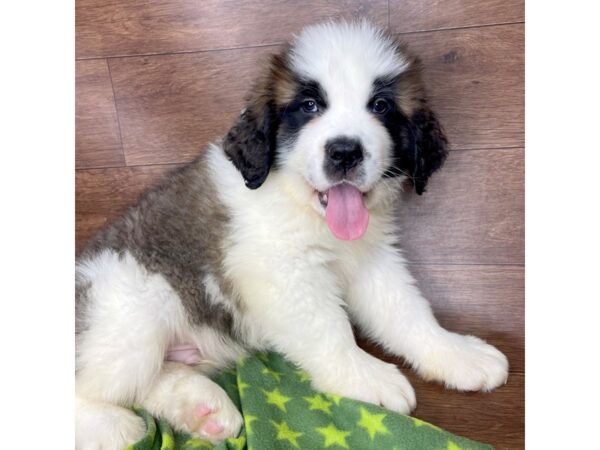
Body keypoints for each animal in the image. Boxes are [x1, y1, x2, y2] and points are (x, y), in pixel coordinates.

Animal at [74, 21, 506, 450]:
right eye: (309, 106)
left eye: (380, 106)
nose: (344, 152)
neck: (303, 205)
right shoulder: (281, 272)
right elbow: (329, 327)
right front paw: (366, 377)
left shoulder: (372, 260)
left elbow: (406, 310)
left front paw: (454, 353)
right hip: (133, 313)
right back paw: (118, 427)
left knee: (146, 383)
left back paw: (202, 408)